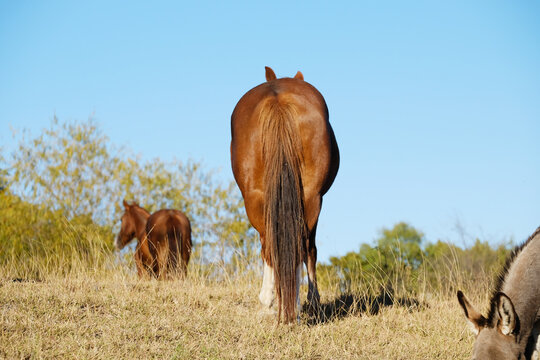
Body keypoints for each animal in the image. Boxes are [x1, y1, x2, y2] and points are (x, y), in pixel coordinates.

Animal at [230, 67, 340, 324]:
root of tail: (278, 101)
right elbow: (311, 249)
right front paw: (313, 298)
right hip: (310, 198)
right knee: (301, 245)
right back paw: (293, 304)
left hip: (256, 200)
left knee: (269, 245)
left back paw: (269, 301)